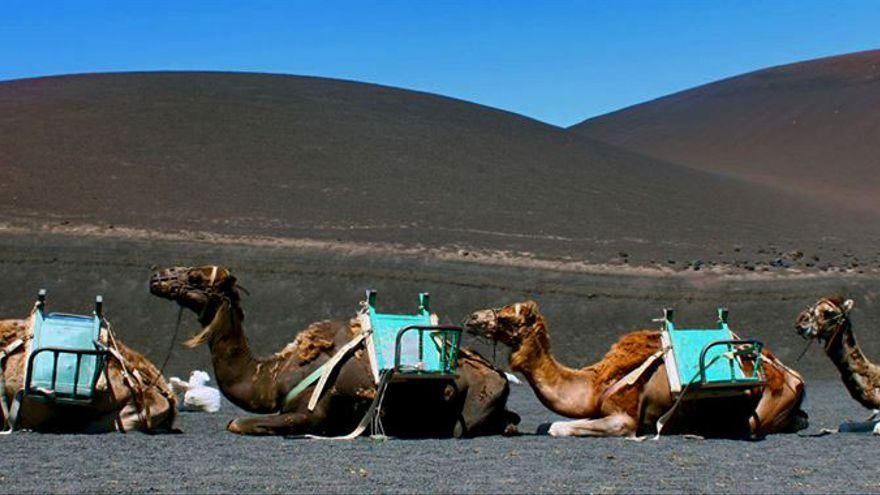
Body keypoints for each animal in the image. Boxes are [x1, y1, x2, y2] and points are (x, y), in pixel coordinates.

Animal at [149, 265, 519, 437]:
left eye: (196, 278)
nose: (157, 276)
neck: (271, 375)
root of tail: (499, 375)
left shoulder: (314, 411)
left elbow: (237, 422)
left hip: (473, 405)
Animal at [465, 300, 808, 438]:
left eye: (509, 317)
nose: (472, 318)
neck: (594, 385)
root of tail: (795, 378)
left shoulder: (625, 418)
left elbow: (556, 427)